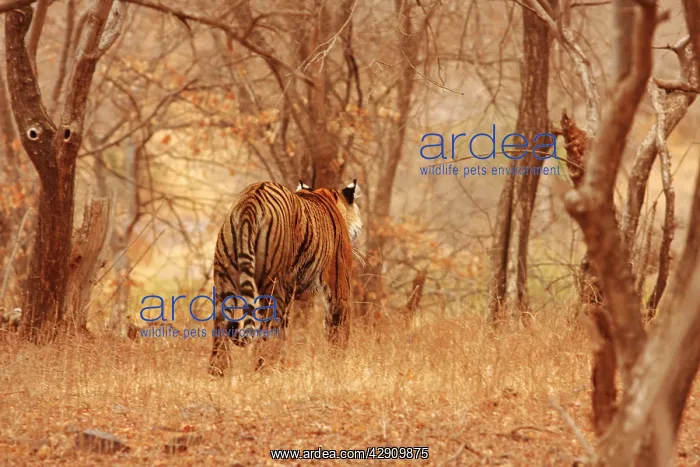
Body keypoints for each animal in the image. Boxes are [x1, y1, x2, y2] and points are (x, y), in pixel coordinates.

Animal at [208, 179, 362, 376]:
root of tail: (250, 201)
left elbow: (285, 333)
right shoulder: (339, 288)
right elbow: (338, 331)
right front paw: (338, 367)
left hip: (224, 281)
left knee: (221, 329)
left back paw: (218, 372)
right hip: (273, 288)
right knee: (266, 333)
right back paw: (266, 370)